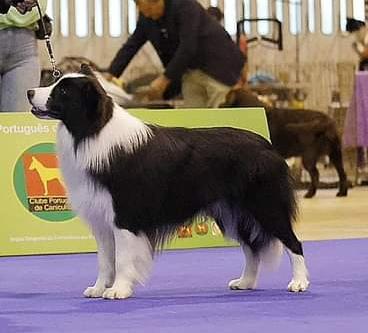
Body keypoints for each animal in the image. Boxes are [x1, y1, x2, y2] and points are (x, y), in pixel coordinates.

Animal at [26, 64, 308, 298]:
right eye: (55, 82)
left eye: (63, 91)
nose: (29, 92)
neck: (93, 131)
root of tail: (267, 145)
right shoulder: (101, 219)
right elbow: (105, 259)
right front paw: (98, 289)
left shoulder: (124, 216)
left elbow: (123, 258)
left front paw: (118, 290)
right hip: (232, 212)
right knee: (251, 248)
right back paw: (245, 282)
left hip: (265, 204)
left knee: (292, 242)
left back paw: (298, 283)